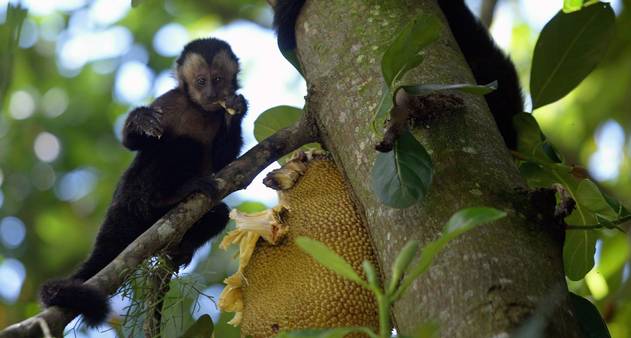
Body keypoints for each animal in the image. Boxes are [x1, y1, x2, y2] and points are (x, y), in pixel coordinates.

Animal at [40, 38, 247, 326]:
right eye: (201, 81)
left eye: (217, 79)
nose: (210, 93)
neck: (199, 109)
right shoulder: (169, 102)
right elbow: (132, 143)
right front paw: (139, 120)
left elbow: (223, 161)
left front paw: (236, 110)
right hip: (134, 196)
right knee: (181, 146)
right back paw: (168, 197)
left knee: (219, 213)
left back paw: (180, 250)